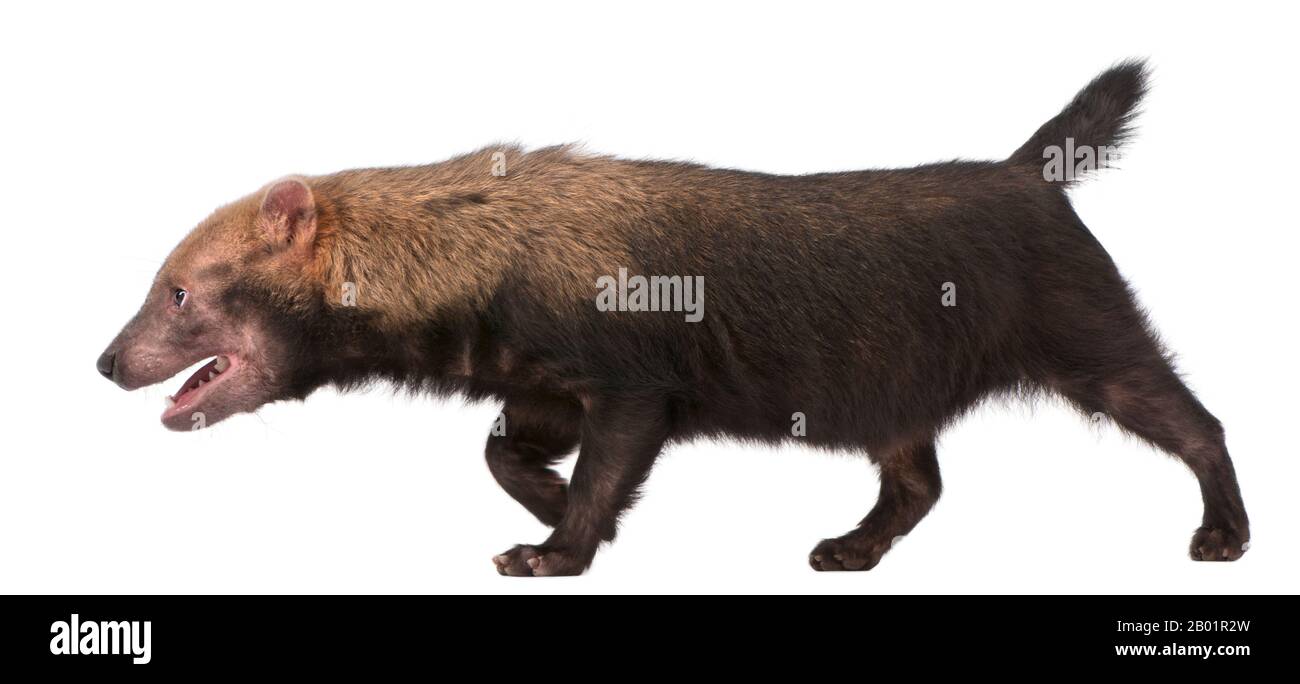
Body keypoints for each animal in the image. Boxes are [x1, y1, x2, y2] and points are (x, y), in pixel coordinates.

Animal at [94, 61, 1248, 577]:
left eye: (178, 289)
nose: (105, 362)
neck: (489, 251)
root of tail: (1025, 173)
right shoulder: (536, 383)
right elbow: (501, 453)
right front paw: (548, 506)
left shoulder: (629, 382)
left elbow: (603, 475)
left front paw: (553, 550)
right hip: (896, 395)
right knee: (919, 484)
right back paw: (848, 550)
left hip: (1097, 343)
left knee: (1202, 423)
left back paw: (1223, 535)